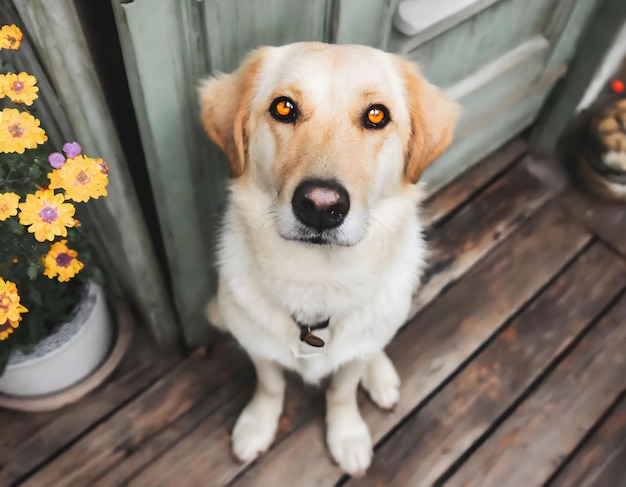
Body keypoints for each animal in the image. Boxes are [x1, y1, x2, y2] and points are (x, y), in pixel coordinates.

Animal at [200, 42, 458, 476]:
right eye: (283, 107)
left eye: (376, 115)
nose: (321, 206)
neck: (317, 280)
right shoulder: (258, 347)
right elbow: (270, 386)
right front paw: (258, 425)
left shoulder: (351, 360)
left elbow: (342, 390)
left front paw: (347, 435)